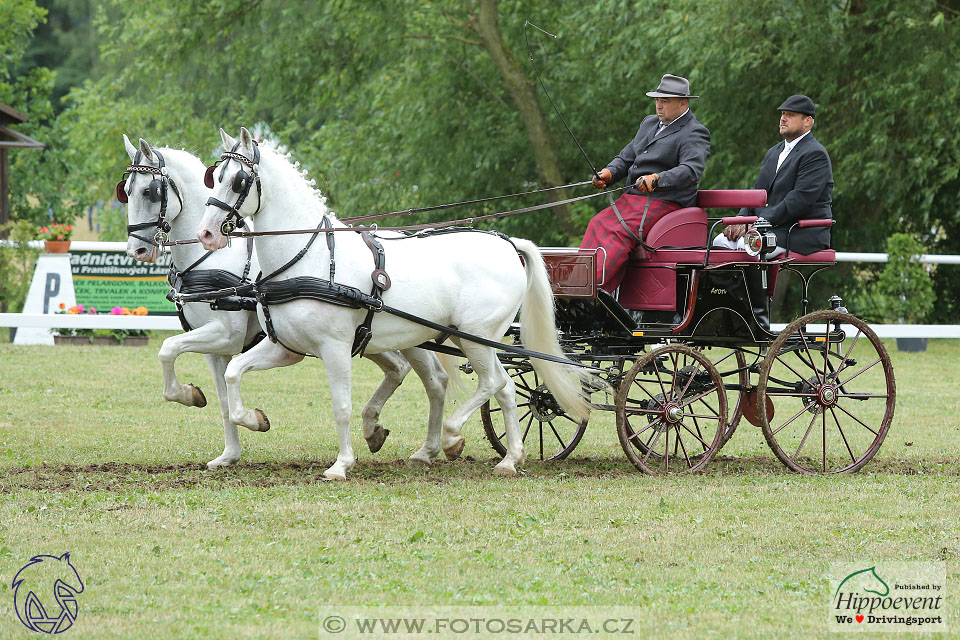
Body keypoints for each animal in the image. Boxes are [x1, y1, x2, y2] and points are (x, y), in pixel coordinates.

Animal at [122, 134, 448, 470]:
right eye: (126, 191)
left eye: (149, 191)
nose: (136, 250)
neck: (212, 259)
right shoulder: (218, 349)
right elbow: (222, 399)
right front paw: (228, 452)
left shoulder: (225, 334)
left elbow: (167, 348)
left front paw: (192, 397)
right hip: (376, 338)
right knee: (401, 369)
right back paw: (382, 431)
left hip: (409, 335)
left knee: (435, 380)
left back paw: (439, 444)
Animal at [195, 126, 592, 480]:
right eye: (214, 177)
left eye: (239, 181)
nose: (206, 233)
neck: (309, 256)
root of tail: (508, 244)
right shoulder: (285, 348)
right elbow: (233, 373)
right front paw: (254, 419)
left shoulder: (334, 347)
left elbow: (341, 406)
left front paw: (341, 465)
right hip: (469, 339)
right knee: (505, 388)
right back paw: (509, 459)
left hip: (478, 337)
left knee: (491, 383)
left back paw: (453, 435)